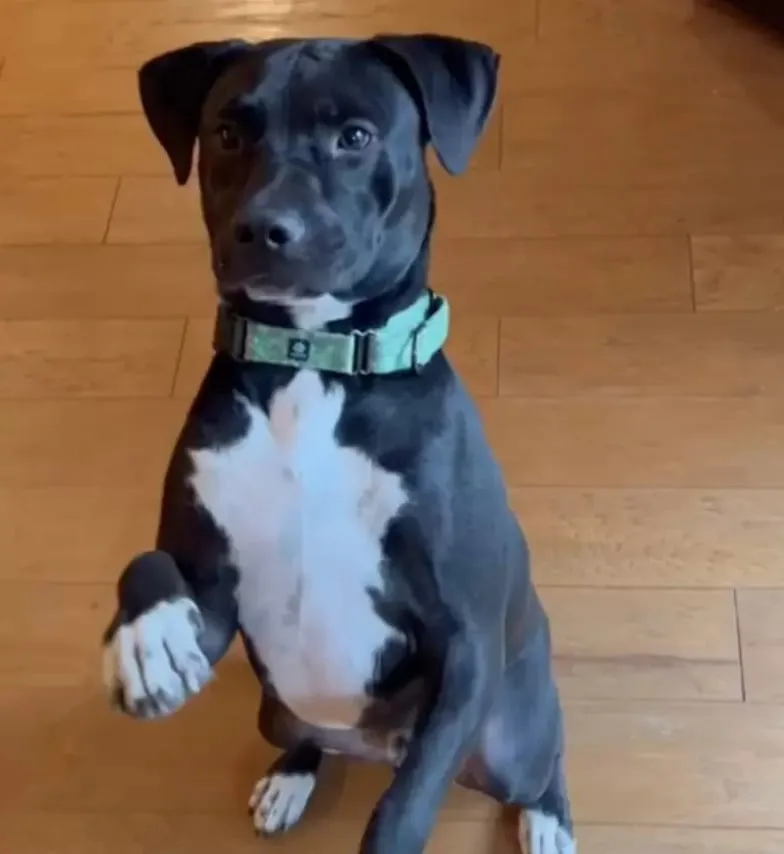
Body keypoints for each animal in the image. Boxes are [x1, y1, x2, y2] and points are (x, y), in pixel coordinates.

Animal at [99, 33, 576, 854]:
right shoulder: (217, 599)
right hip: (278, 707)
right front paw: (147, 639)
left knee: (545, 758)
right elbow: (147, 563)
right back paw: (290, 776)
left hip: (505, 741)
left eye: (355, 137)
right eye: (226, 133)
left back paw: (548, 819)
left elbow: (403, 810)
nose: (263, 228)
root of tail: (375, 744)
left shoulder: (464, 644)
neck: (311, 367)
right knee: (306, 737)